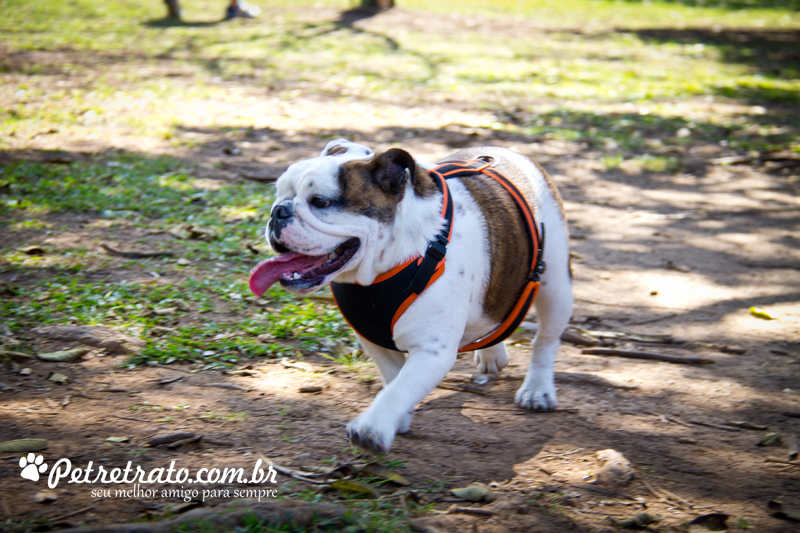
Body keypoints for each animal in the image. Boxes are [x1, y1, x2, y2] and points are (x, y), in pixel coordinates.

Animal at [247, 139, 572, 450]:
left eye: (321, 202)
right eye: (279, 193)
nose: (279, 211)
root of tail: (510, 153)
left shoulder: (431, 351)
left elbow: (399, 388)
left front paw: (373, 427)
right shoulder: (372, 338)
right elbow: (394, 379)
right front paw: (398, 418)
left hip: (555, 286)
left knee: (545, 341)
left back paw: (537, 389)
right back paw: (492, 353)